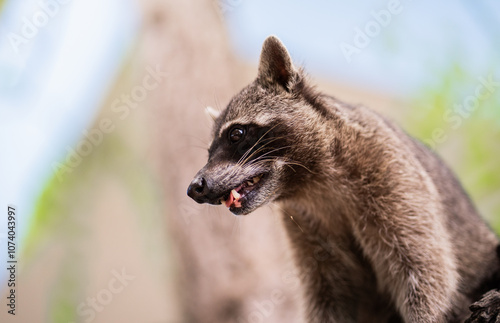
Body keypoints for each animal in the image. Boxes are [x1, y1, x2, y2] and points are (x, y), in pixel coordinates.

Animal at [188, 36, 500, 323]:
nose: (195, 188)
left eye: (236, 134)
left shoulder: (394, 176)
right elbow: (328, 296)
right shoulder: (308, 230)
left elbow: (426, 275)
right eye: (209, 151)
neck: (309, 185)